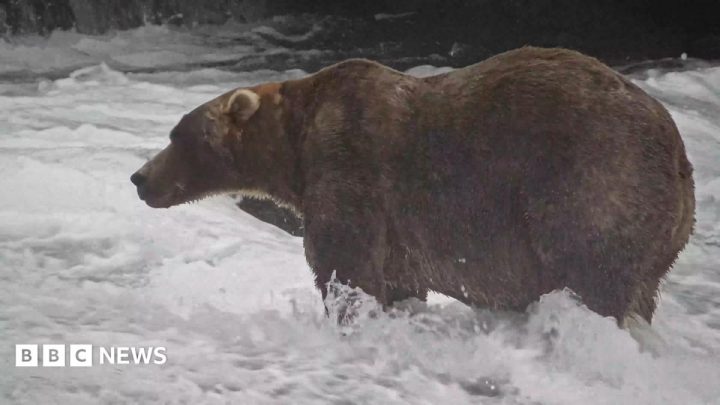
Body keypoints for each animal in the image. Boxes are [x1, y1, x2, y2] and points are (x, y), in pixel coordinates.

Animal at [130, 47, 695, 325]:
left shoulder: (350, 164)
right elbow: (398, 279)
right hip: (662, 234)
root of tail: (678, 152)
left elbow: (344, 263)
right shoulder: (399, 230)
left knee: (591, 271)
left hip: (591, 181)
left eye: (177, 135)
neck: (294, 146)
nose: (139, 178)